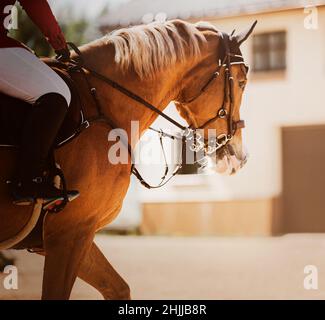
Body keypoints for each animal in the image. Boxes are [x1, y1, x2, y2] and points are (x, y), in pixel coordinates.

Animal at [0, 20, 256, 300]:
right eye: (242, 81)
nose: (240, 157)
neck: (99, 99)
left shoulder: (73, 235)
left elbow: (118, 288)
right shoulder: (69, 233)